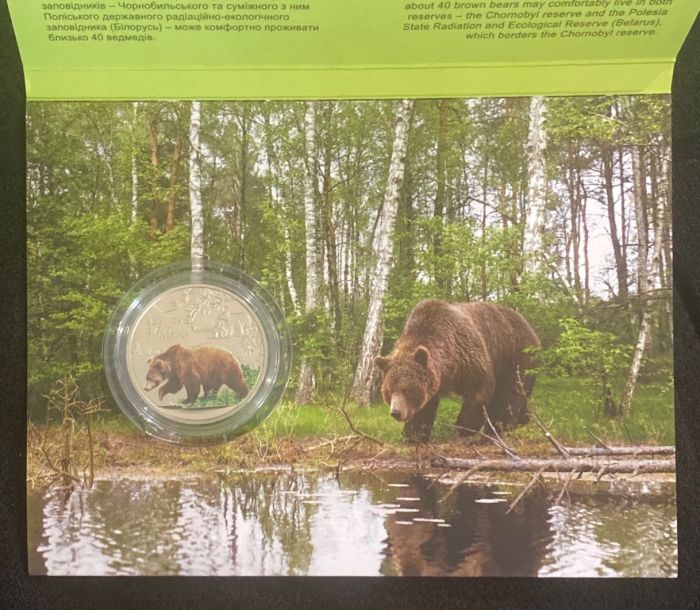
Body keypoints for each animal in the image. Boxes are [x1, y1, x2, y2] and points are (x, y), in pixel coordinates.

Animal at [374, 300, 540, 443]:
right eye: (389, 391)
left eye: (406, 390)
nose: (396, 412)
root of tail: (530, 327)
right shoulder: (433, 381)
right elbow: (423, 409)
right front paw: (412, 435)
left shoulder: (467, 355)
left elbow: (479, 390)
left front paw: (463, 428)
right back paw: (525, 421)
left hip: (516, 357)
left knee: (510, 394)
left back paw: (497, 430)